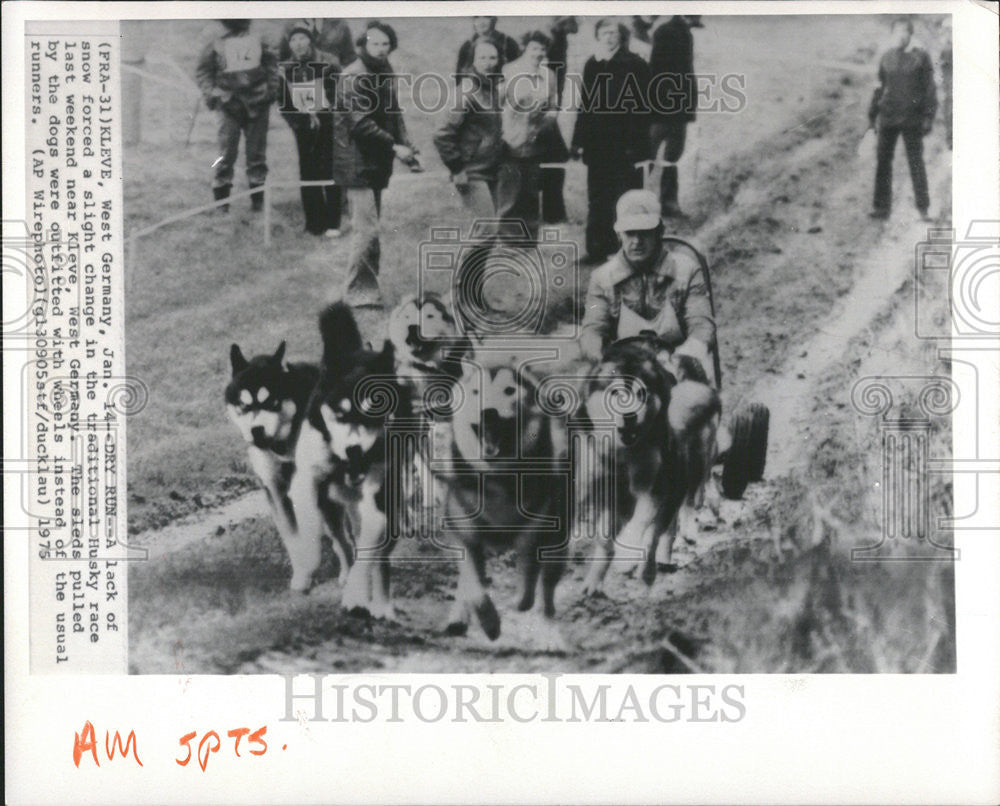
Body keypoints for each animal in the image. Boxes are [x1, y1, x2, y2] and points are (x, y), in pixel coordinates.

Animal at [226, 344, 352, 592]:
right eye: (244, 406)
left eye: (271, 402)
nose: (256, 430)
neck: (282, 445)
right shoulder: (275, 491)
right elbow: (293, 538)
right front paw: (302, 576)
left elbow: (337, 535)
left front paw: (346, 572)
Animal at [290, 306, 406, 616]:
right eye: (340, 414)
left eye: (375, 412)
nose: (354, 450)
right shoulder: (306, 480)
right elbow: (310, 526)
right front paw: (307, 566)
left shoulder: (379, 500)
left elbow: (368, 549)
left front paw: (357, 594)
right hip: (332, 507)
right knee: (341, 540)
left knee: (373, 555)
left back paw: (380, 602)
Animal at [576, 334, 724, 592]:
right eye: (615, 392)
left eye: (641, 393)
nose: (629, 416)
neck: (621, 455)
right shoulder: (604, 490)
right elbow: (604, 540)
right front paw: (594, 581)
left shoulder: (652, 487)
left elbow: (641, 524)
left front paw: (626, 557)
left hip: (694, 463)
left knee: (681, 508)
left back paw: (654, 564)